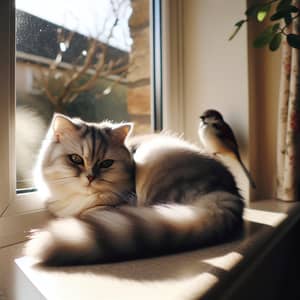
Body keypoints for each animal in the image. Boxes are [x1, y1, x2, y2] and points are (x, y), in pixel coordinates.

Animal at [25, 113, 244, 264]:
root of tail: (226, 192)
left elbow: (86, 215)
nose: (90, 177)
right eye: (76, 159)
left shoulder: (113, 207)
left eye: (106, 164)